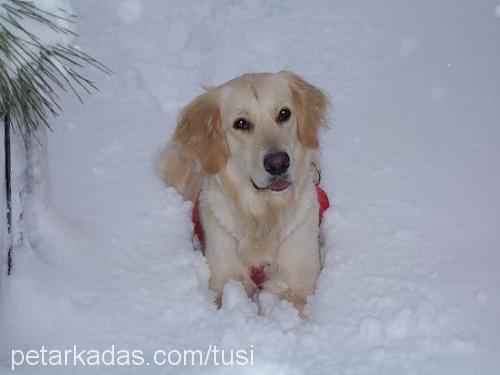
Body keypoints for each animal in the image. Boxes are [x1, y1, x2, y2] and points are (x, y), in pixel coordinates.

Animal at [160, 71, 330, 314]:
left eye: (284, 114)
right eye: (241, 123)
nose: (278, 163)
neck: (263, 215)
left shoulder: (297, 282)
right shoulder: (224, 278)